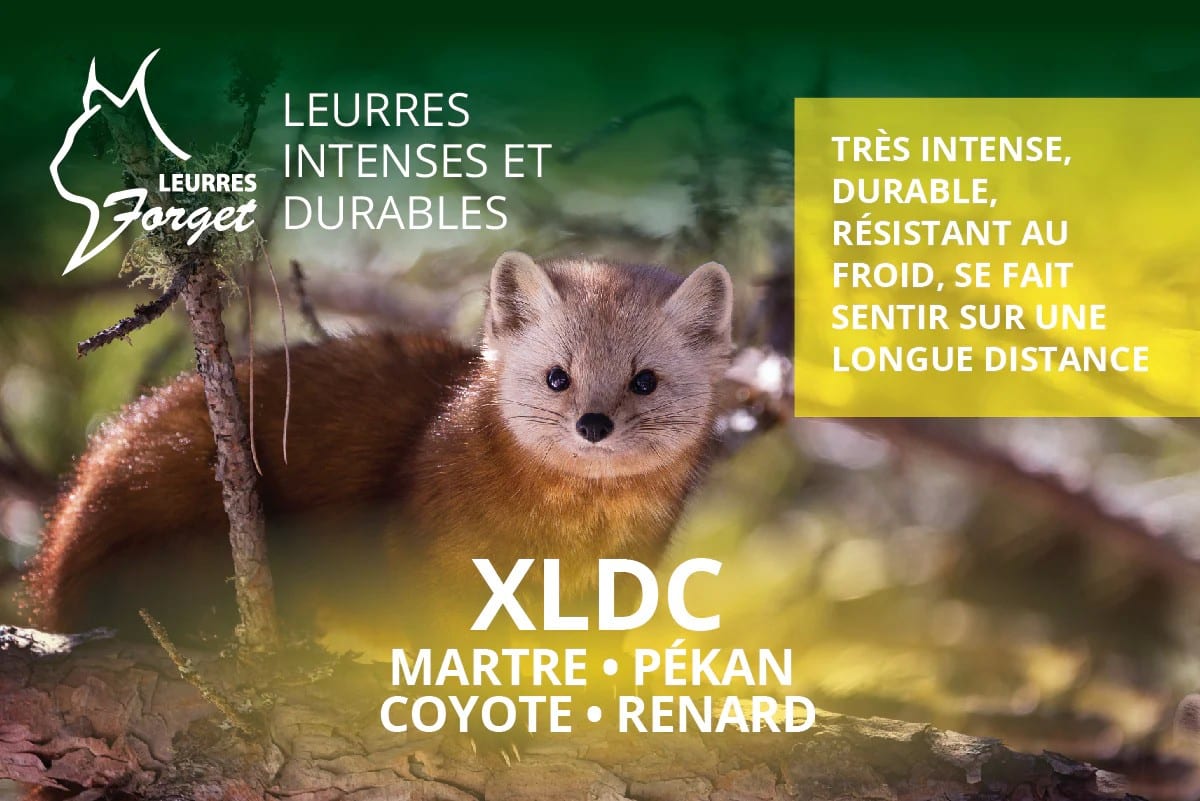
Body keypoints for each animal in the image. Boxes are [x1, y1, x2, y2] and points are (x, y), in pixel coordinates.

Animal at [24, 251, 734, 650]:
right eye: (557, 375)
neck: (566, 543)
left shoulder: (619, 583)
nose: (593, 423)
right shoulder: (424, 544)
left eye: (645, 379)